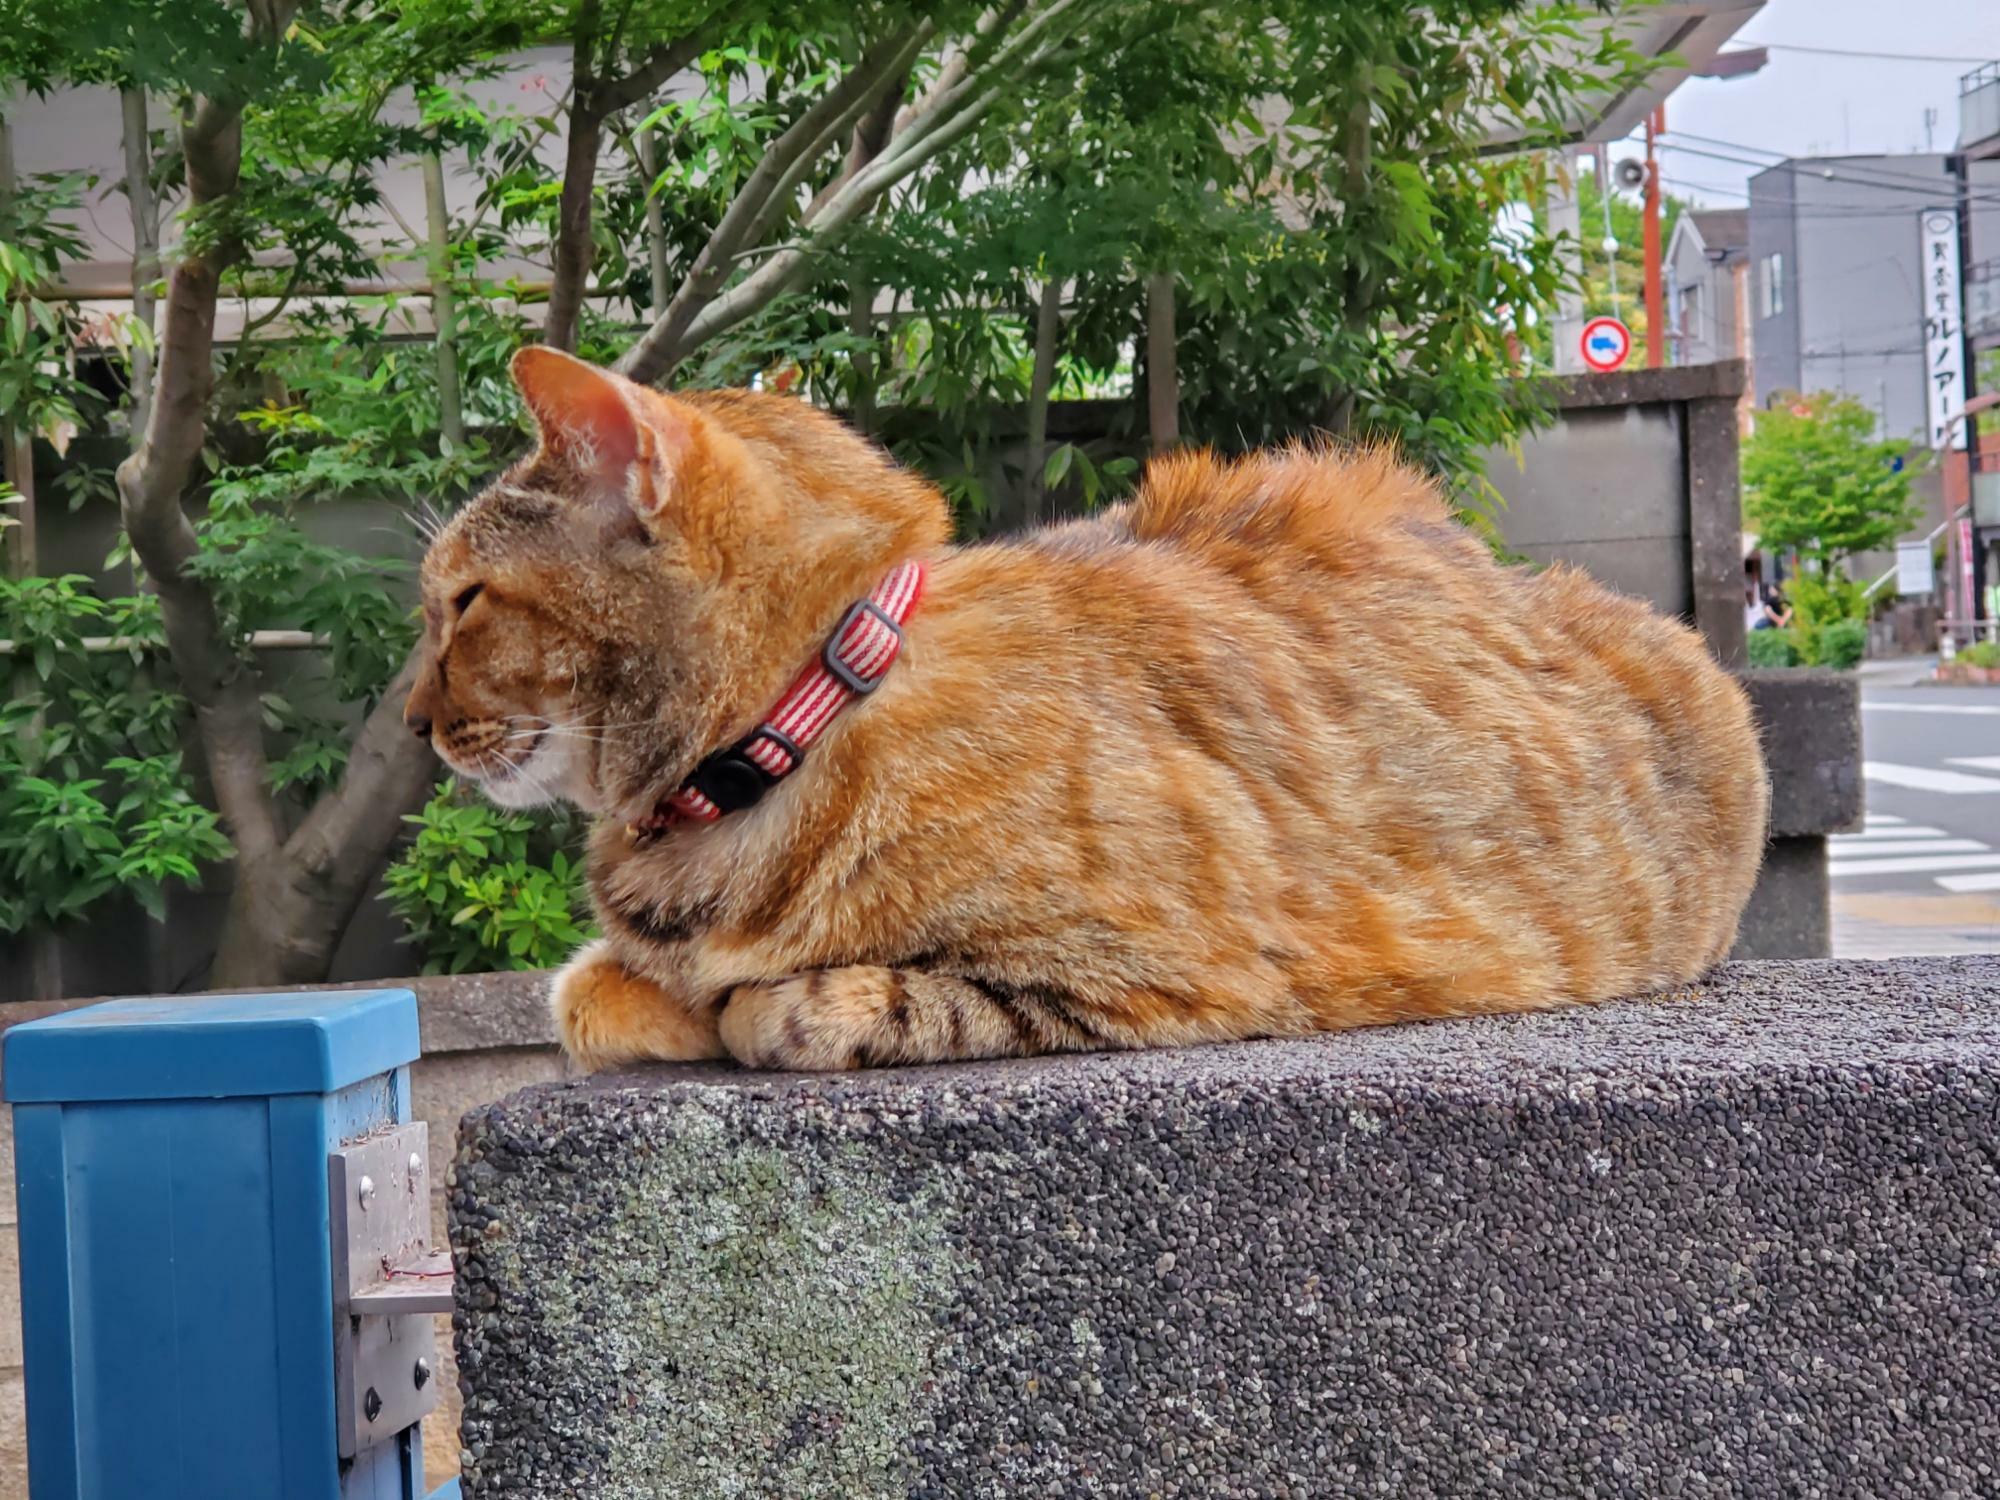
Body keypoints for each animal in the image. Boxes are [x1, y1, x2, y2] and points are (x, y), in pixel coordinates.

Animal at [406, 350, 1768, 1080]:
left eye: (461, 602)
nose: (414, 719)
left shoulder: (1163, 974)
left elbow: (822, 1002)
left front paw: (739, 1003)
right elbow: (579, 993)